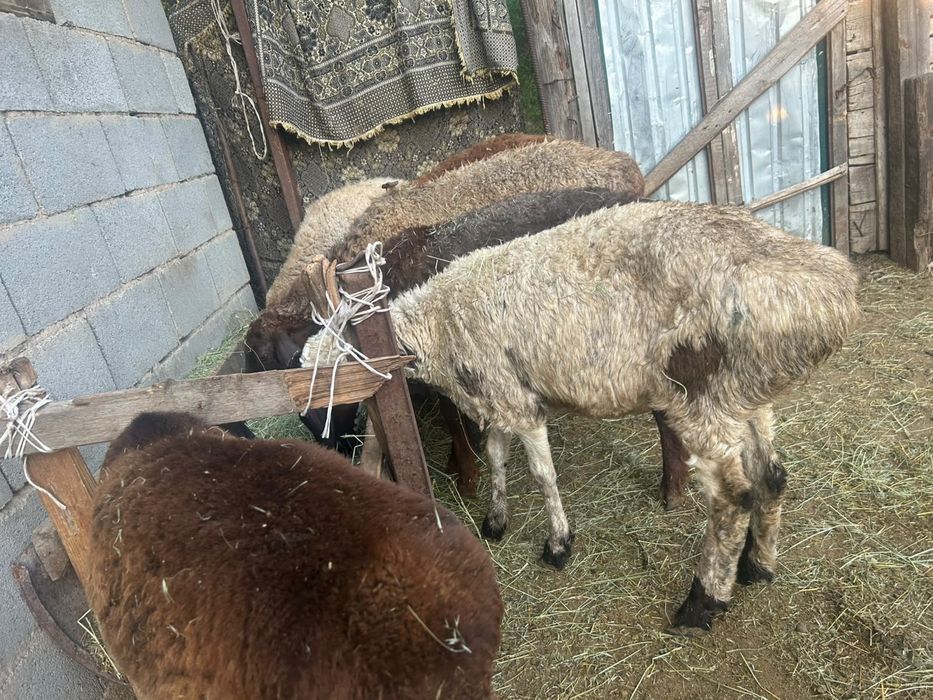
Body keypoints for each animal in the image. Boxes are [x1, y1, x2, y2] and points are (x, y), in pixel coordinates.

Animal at [301, 200, 860, 633]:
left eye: (337, 362)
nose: (340, 435)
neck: (437, 326)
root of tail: (834, 295)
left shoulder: (518, 402)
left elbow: (543, 475)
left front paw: (558, 545)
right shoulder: (499, 397)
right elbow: (498, 458)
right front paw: (496, 521)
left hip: (698, 392)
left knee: (733, 496)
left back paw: (702, 603)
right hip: (743, 394)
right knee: (773, 475)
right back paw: (757, 566)